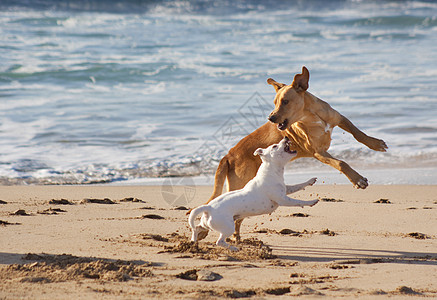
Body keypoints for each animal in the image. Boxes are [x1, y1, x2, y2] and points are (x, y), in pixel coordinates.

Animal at [187, 138, 316, 251]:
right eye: (274, 146)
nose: (285, 137)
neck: (271, 171)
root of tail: (208, 207)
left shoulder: (286, 190)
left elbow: (298, 185)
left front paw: (310, 181)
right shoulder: (283, 199)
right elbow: (298, 202)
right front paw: (312, 202)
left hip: (206, 224)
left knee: (197, 228)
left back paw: (193, 241)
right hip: (228, 227)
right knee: (219, 241)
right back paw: (234, 248)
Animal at [194, 66, 384, 241]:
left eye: (285, 101)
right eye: (274, 102)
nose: (270, 118)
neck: (312, 117)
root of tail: (228, 155)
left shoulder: (340, 118)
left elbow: (358, 133)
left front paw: (375, 144)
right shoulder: (319, 153)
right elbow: (341, 163)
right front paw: (358, 180)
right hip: (240, 185)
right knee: (230, 214)